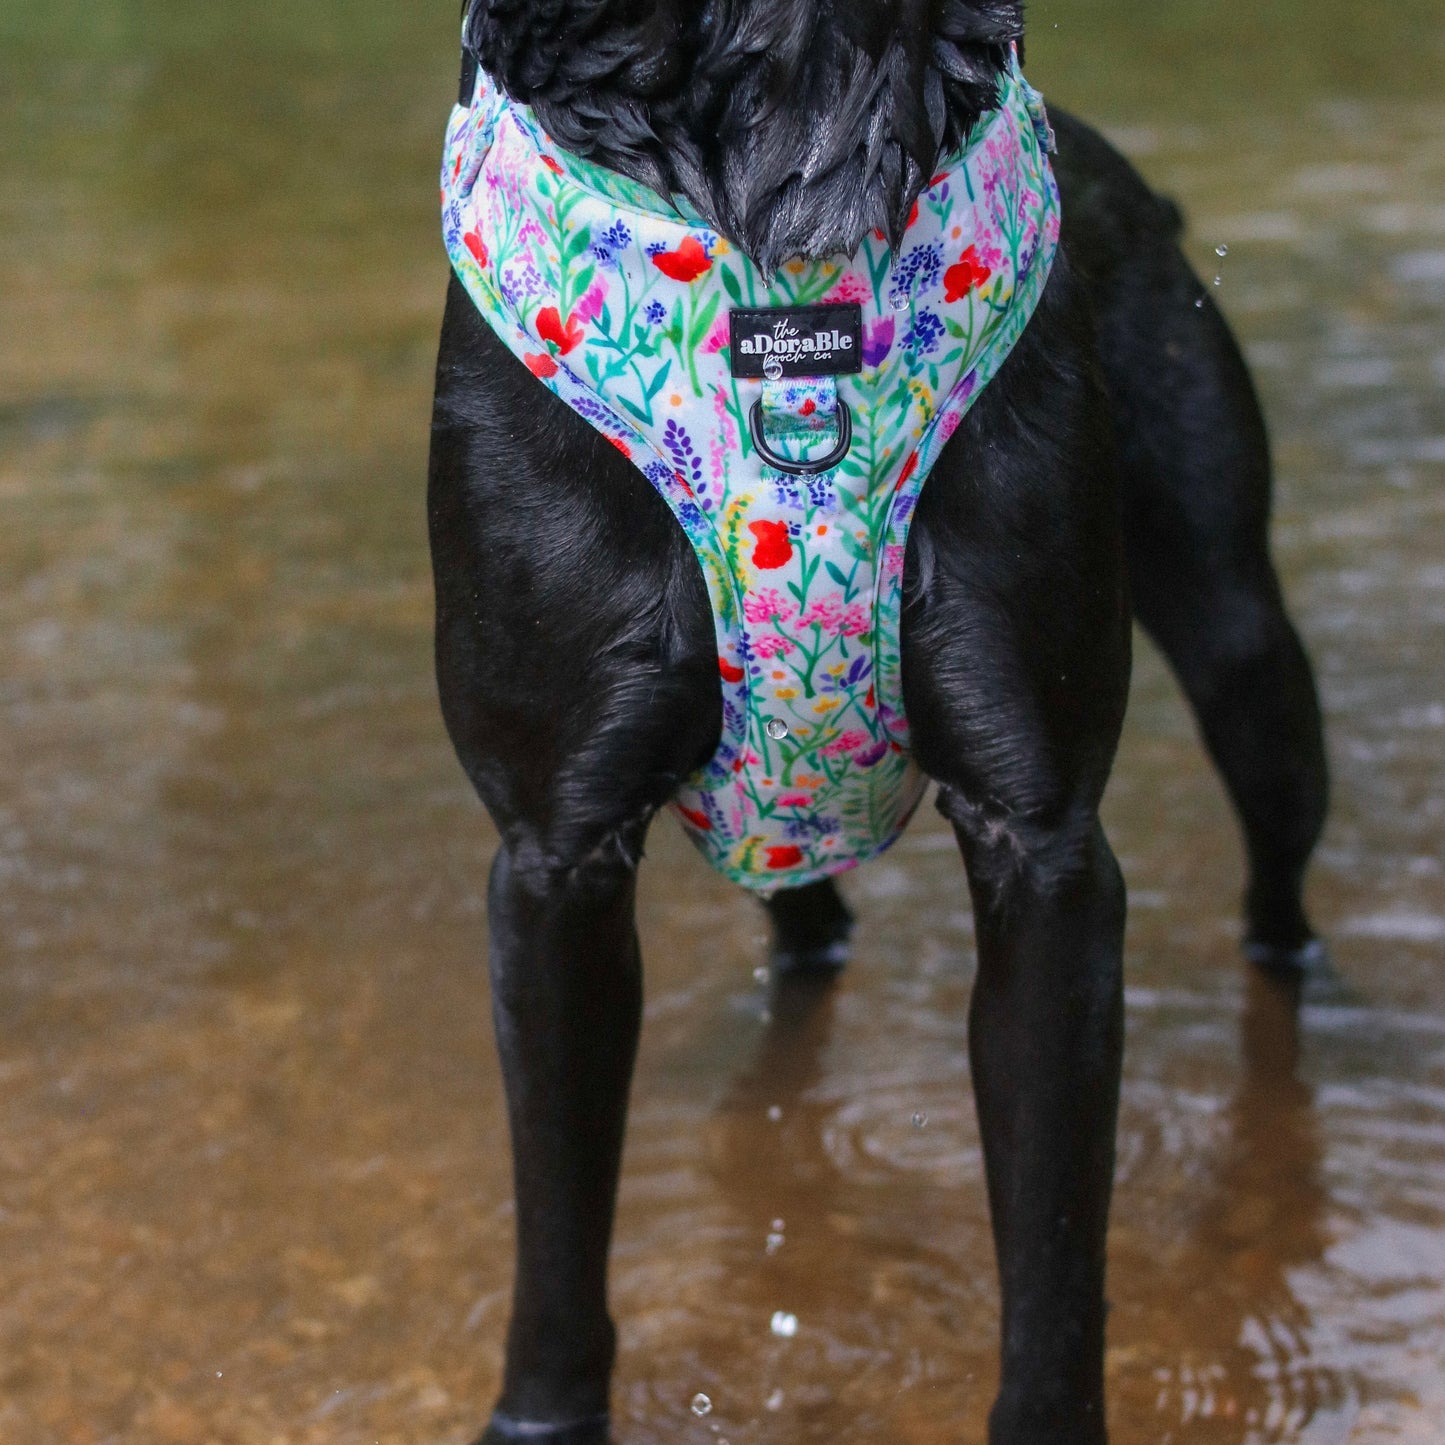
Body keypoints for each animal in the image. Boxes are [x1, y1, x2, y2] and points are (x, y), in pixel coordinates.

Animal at [424, 5, 1329, 1439]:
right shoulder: (554, 860)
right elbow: (558, 1237)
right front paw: (541, 1411)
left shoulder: (1045, 851)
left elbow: (1054, 1258)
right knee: (804, 922)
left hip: (1245, 653)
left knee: (1276, 893)